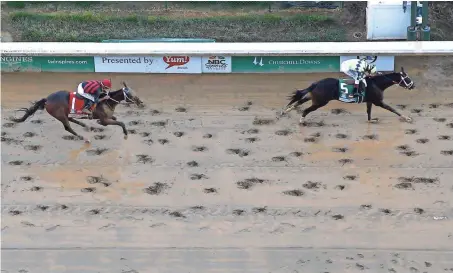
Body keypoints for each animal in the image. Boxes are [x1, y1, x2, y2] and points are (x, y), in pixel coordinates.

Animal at [9, 81, 143, 142]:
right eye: (130, 94)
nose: (140, 102)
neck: (107, 101)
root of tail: (47, 99)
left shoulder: (107, 117)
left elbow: (115, 119)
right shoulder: (105, 119)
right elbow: (121, 123)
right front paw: (125, 134)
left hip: (64, 113)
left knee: (70, 118)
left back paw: (84, 125)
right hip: (59, 114)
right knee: (68, 127)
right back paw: (84, 138)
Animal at [280, 66, 414, 122]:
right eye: (407, 78)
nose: (413, 85)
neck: (377, 83)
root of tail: (316, 83)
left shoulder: (370, 101)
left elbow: (369, 113)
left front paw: (371, 120)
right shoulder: (378, 101)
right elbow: (392, 109)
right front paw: (406, 118)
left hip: (315, 98)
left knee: (300, 101)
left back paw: (285, 111)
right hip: (320, 102)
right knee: (305, 109)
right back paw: (301, 120)